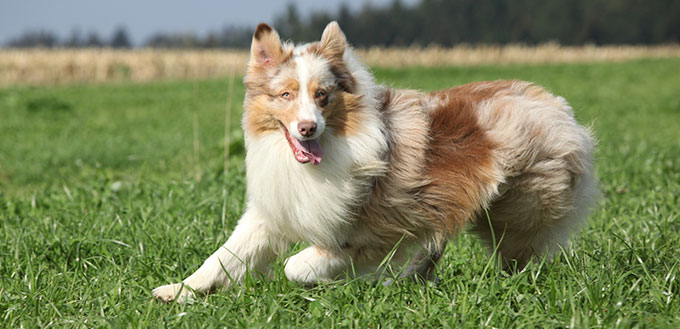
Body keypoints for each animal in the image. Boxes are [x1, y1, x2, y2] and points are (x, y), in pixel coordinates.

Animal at [153, 21, 596, 302]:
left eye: (323, 95)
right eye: (285, 95)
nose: (308, 128)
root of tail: (556, 104)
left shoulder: (378, 228)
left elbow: (296, 266)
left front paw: (328, 280)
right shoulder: (273, 212)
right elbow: (223, 257)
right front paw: (176, 291)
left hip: (515, 212)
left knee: (518, 256)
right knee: (441, 240)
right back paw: (413, 278)